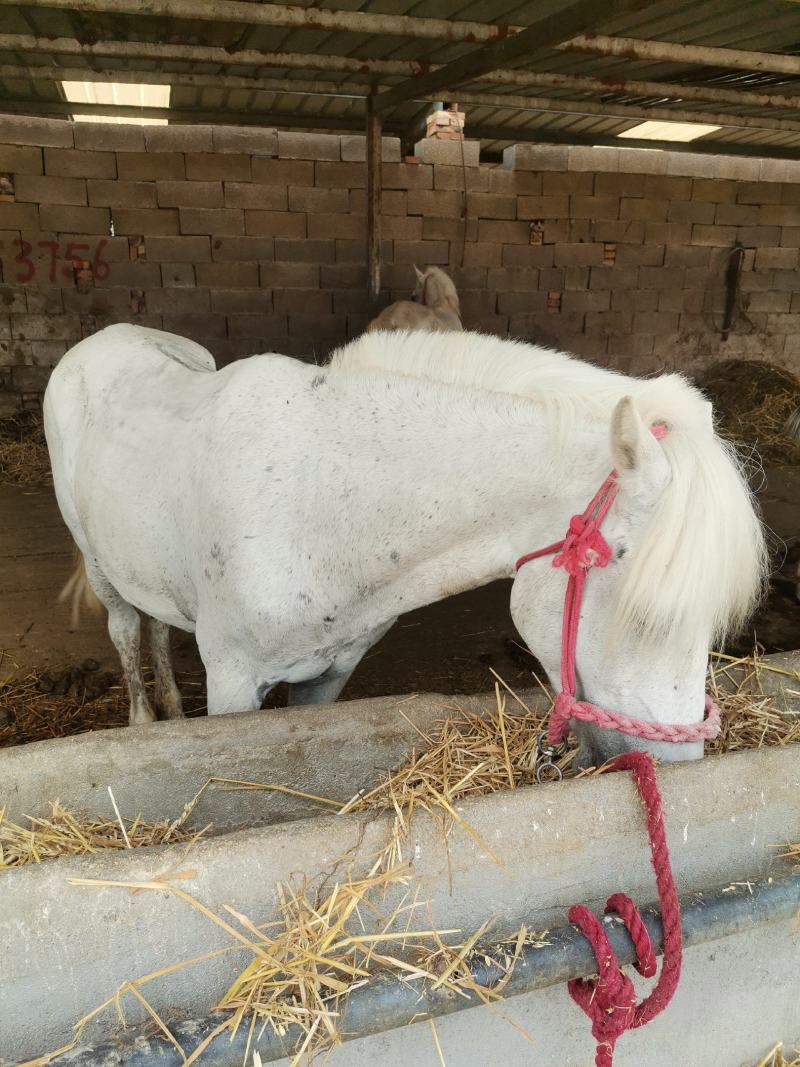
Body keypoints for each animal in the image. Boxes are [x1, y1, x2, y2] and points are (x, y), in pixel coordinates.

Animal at [44, 324, 766, 767]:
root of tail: (102, 339)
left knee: (158, 625)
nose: (677, 763)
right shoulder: (232, 682)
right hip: (99, 566)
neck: (319, 501)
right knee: (125, 630)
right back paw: (146, 719)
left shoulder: (329, 675)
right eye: (646, 615)